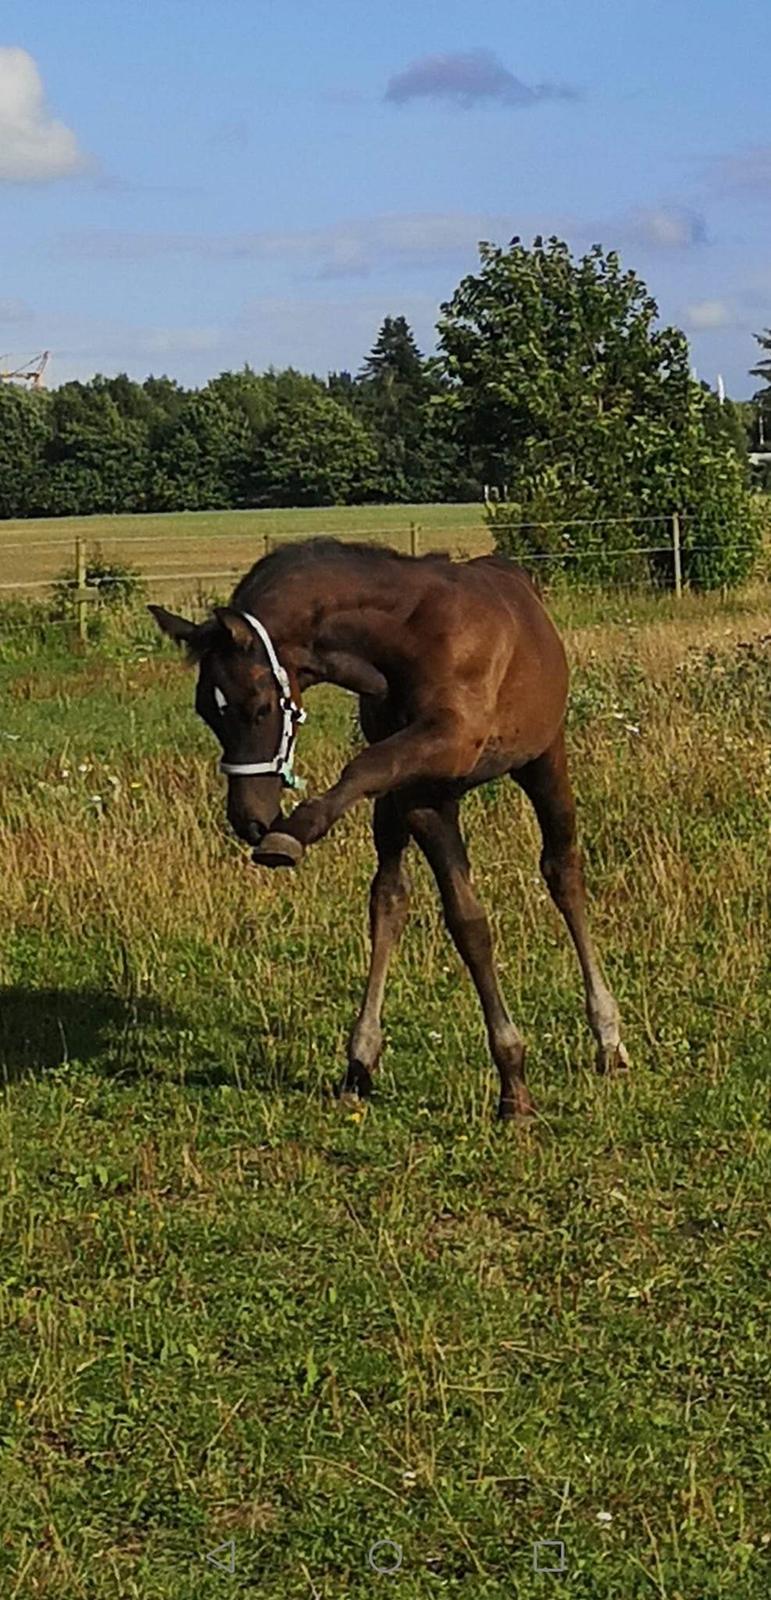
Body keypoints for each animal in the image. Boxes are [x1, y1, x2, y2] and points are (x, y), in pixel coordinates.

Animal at [150, 537, 627, 1113]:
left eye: (260, 707)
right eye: (207, 711)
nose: (250, 819)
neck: (408, 637)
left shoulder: (449, 743)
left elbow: (367, 770)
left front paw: (513, 1083)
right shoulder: (418, 791)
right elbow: (460, 918)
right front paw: (511, 1073)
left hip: (542, 761)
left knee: (563, 872)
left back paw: (608, 1038)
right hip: (400, 808)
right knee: (389, 898)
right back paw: (360, 1059)